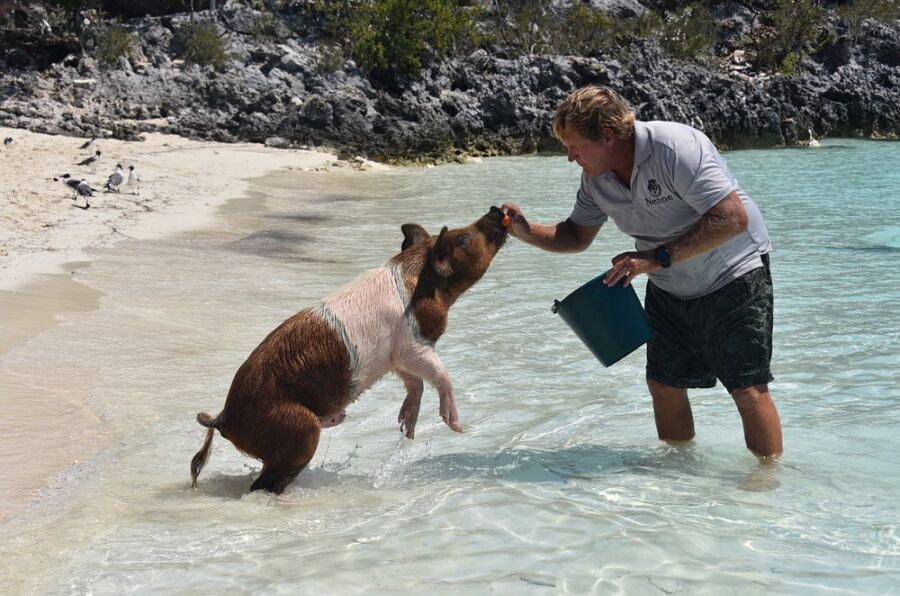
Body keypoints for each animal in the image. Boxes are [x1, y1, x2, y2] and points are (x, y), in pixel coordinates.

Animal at [190, 206, 509, 494]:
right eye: (462, 238)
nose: (496, 209)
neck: (422, 282)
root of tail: (224, 417)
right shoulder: (413, 344)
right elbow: (441, 374)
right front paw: (458, 427)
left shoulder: (396, 357)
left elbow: (414, 382)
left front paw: (407, 429)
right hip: (296, 429)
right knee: (266, 483)